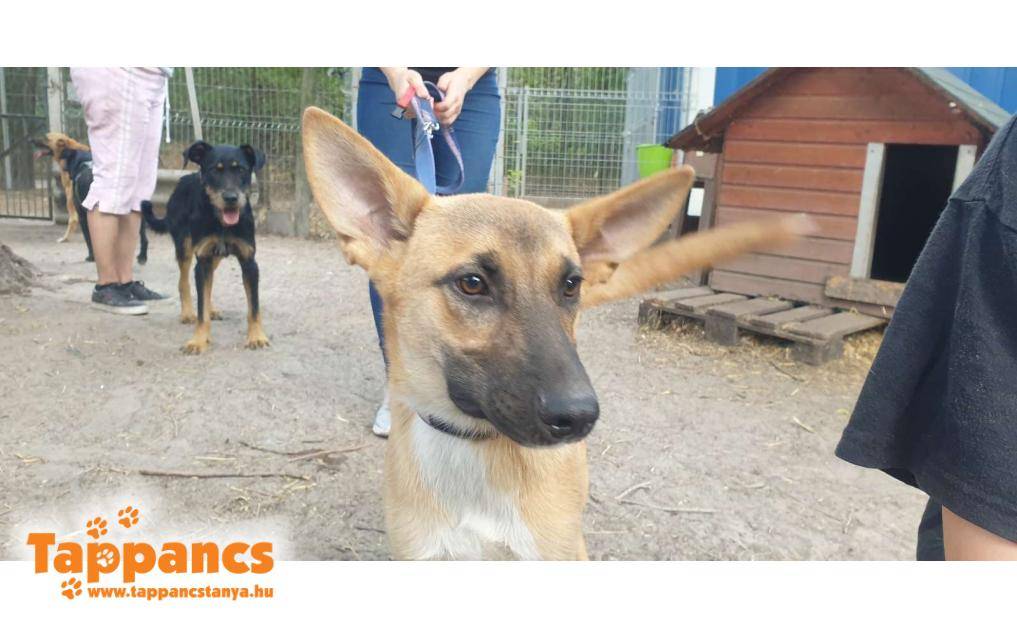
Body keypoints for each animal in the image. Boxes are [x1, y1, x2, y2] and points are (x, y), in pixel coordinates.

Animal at [33, 132, 148, 264]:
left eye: (46, 137)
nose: (30, 140)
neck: (84, 163)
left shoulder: (82, 215)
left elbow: (88, 238)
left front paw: (91, 256)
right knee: (142, 237)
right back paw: (141, 256)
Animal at [142, 140, 268, 354]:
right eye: (214, 170)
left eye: (241, 170)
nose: (231, 198)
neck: (222, 223)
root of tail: (182, 180)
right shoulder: (202, 261)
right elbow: (201, 310)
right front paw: (198, 340)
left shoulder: (249, 262)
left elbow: (254, 307)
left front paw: (257, 337)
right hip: (185, 248)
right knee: (183, 282)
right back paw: (187, 313)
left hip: (215, 256)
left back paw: (212, 309)